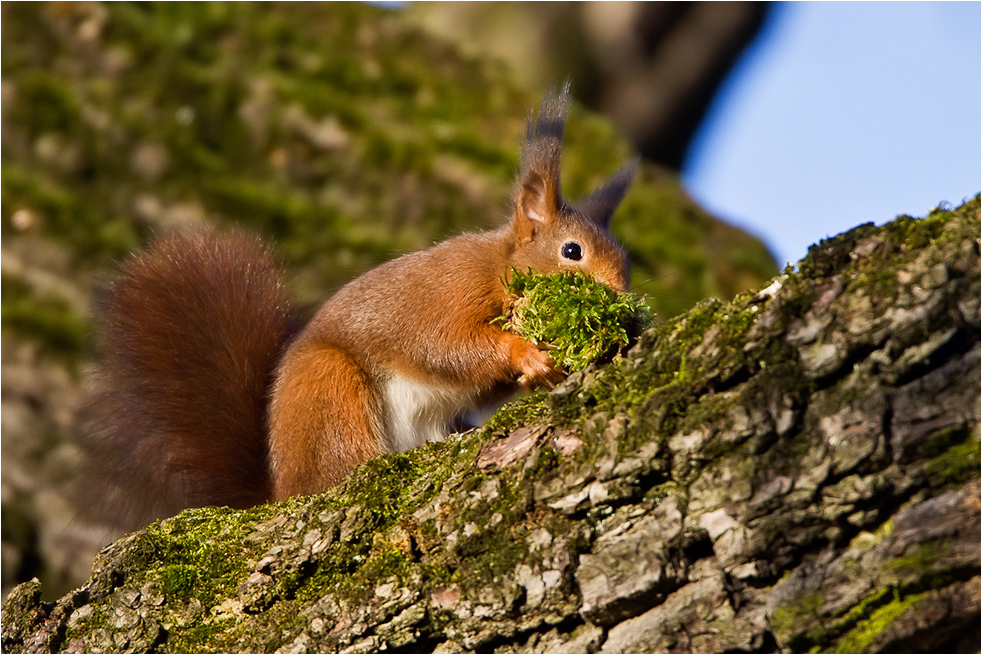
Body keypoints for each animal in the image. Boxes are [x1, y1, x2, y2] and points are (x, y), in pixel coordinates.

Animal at [86, 87, 640, 528]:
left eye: (625, 259)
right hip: (332, 393)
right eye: (572, 251)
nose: (621, 299)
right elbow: (443, 347)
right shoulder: (447, 294)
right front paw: (524, 353)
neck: (501, 268)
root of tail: (282, 487)